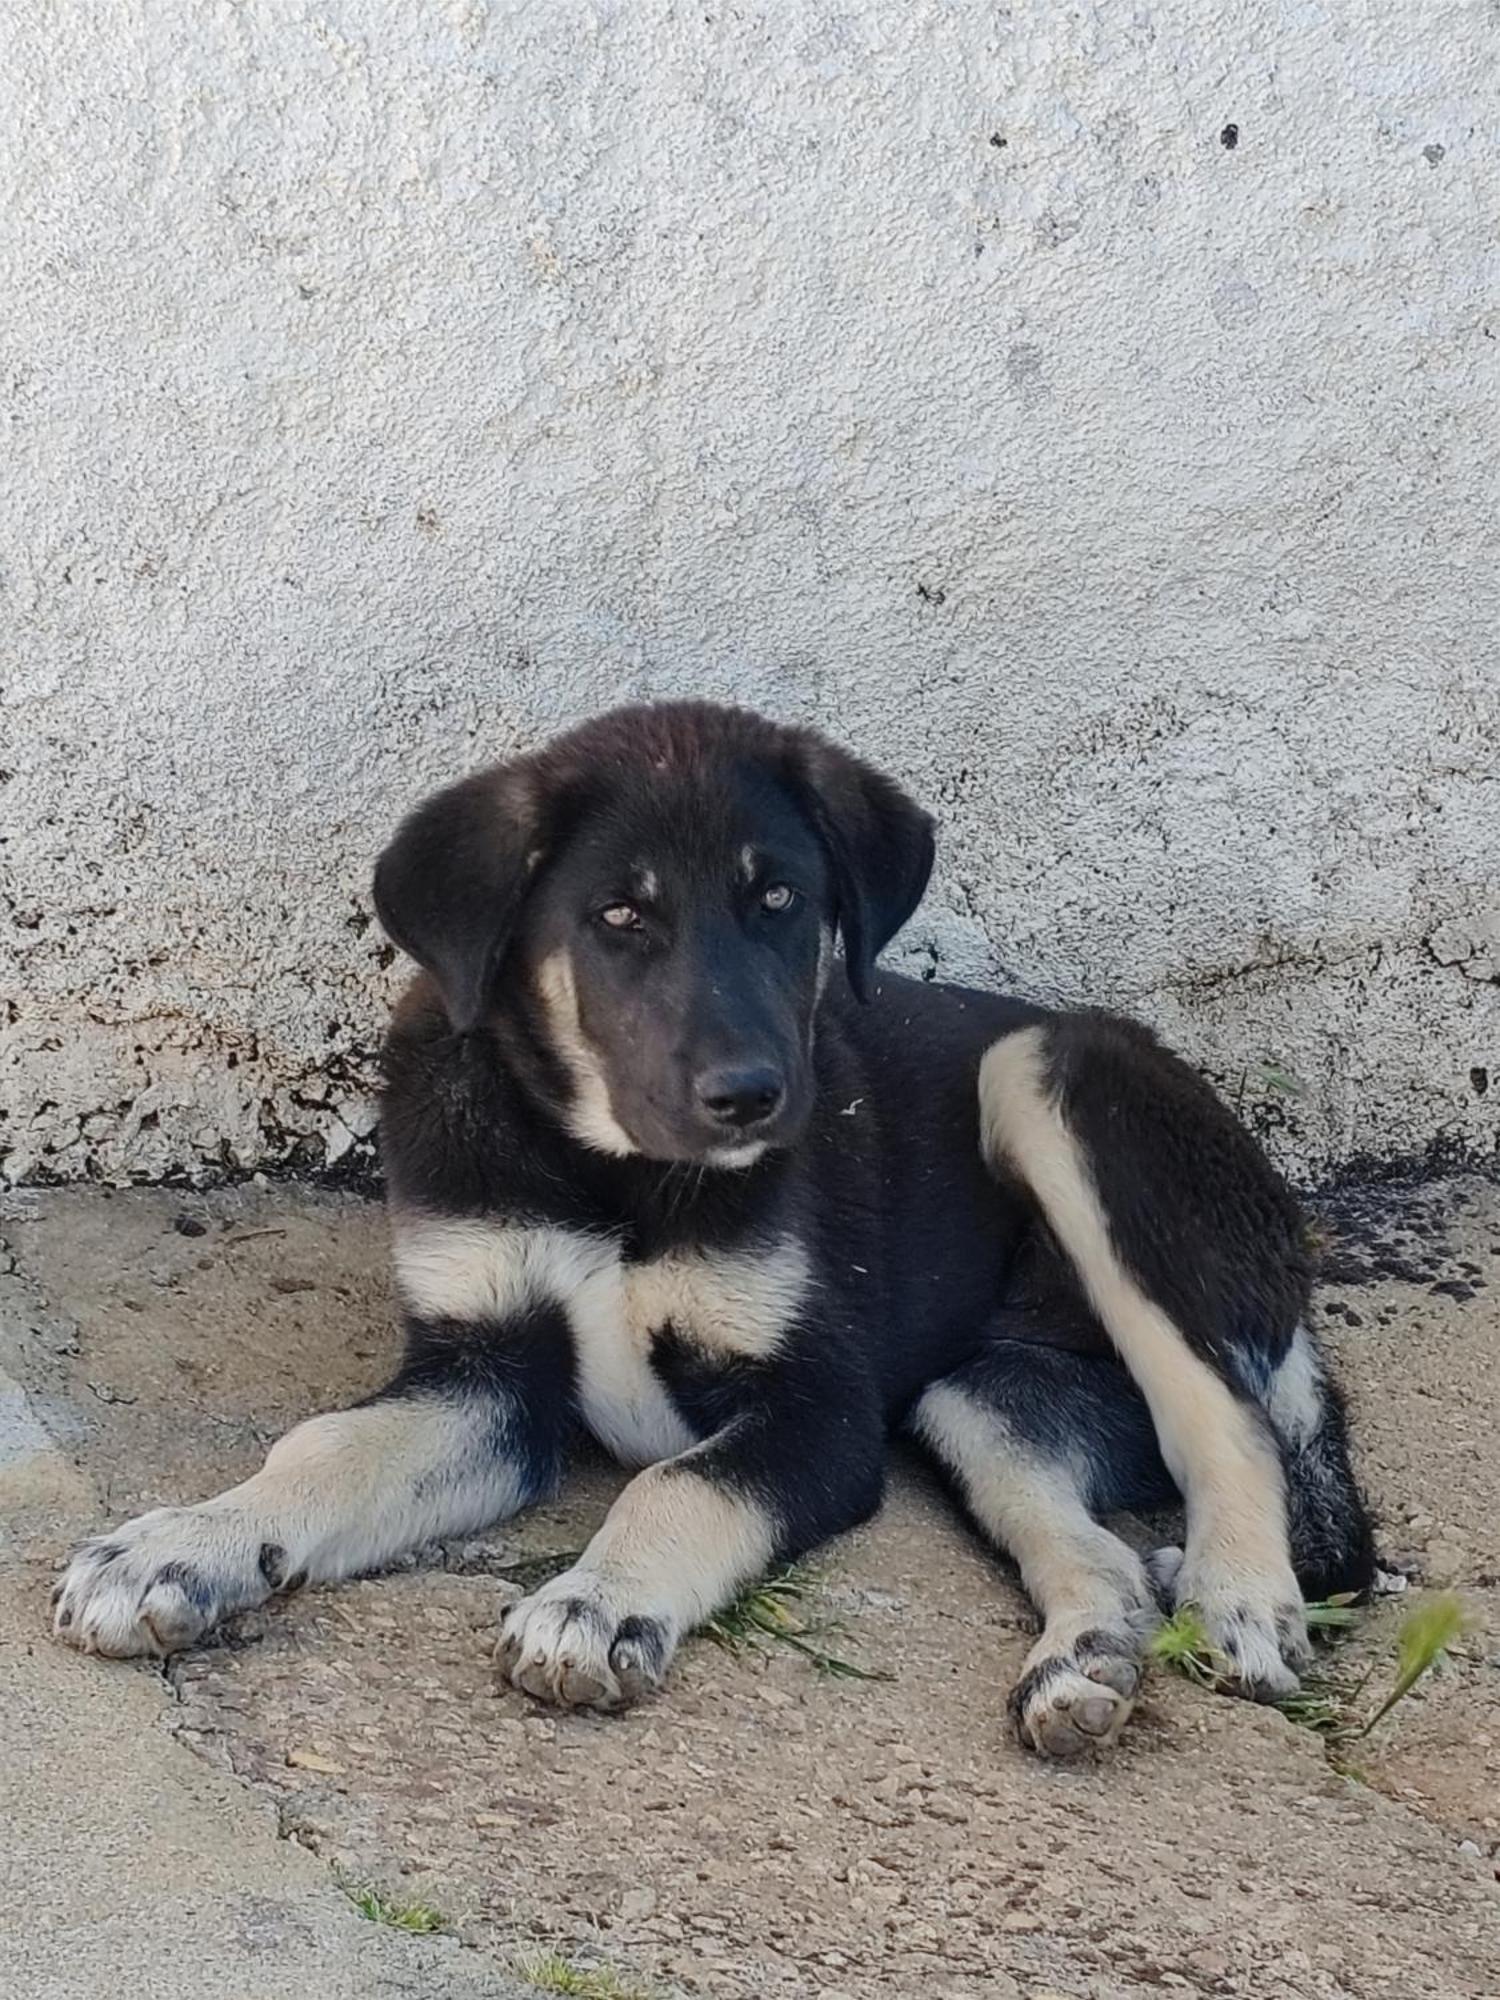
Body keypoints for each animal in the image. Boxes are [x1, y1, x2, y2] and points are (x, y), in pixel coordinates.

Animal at [55, 700, 1376, 1752]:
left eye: (780, 898)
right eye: (618, 915)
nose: (754, 1094)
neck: (613, 1173)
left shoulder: (819, 1409)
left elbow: (677, 1486)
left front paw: (597, 1602)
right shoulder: (485, 1374)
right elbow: (326, 1447)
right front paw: (186, 1543)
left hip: (1051, 1075)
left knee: (1232, 1415)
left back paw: (1240, 1594)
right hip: (983, 1398)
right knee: (1093, 1534)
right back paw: (1083, 1666)